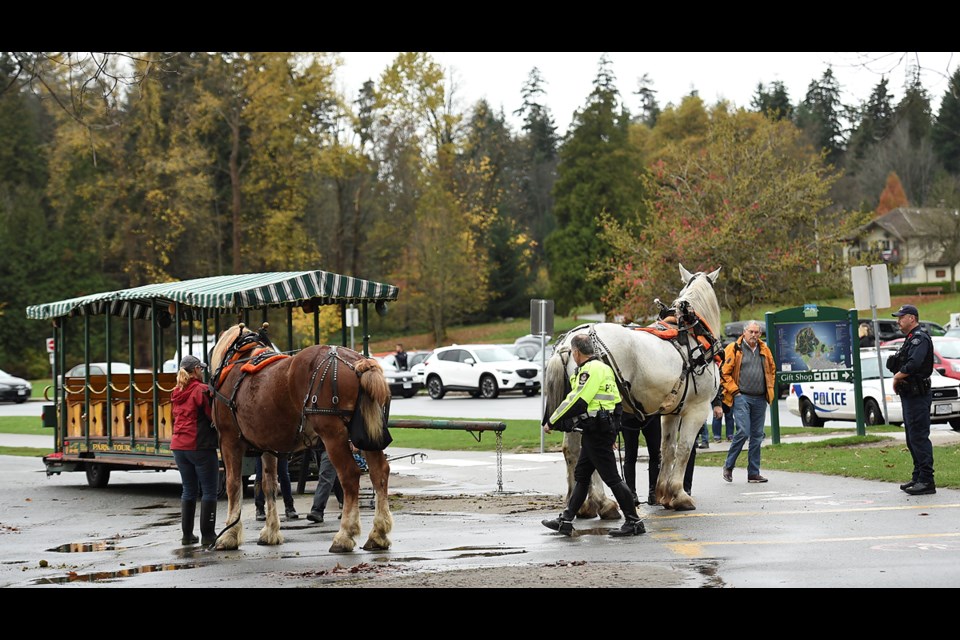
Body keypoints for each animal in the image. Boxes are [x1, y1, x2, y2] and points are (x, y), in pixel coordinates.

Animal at [208, 328, 392, 552]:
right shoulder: (267, 446)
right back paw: (378, 534)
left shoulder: (229, 441)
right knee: (379, 472)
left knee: (349, 476)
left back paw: (344, 535)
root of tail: (358, 363)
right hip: (366, 434)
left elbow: (233, 485)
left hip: (334, 435)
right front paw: (271, 531)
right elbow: (269, 484)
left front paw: (229, 535)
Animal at [548, 264, 720, 516]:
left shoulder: (670, 412)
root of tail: (567, 344)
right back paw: (603, 503)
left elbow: (668, 448)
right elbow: (684, 449)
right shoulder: (697, 409)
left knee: (571, 450)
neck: (692, 334)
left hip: (572, 406)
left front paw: (664, 493)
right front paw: (679, 495)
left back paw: (582, 504)